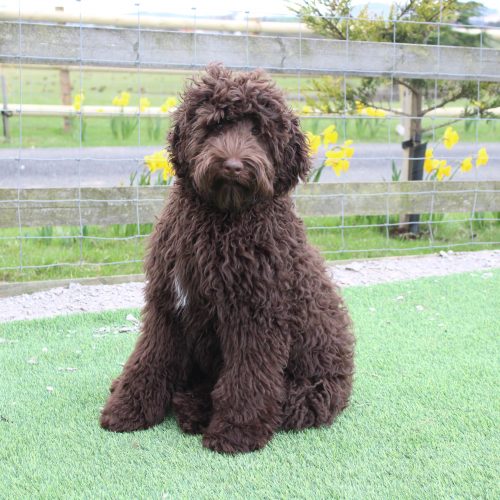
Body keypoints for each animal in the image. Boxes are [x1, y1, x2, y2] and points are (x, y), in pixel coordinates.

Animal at [99, 62, 354, 454]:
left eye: (260, 131)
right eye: (216, 125)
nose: (234, 166)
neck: (220, 220)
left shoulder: (256, 315)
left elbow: (247, 379)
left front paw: (236, 432)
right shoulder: (166, 305)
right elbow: (149, 359)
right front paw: (127, 408)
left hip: (307, 392)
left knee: (282, 403)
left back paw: (194, 410)